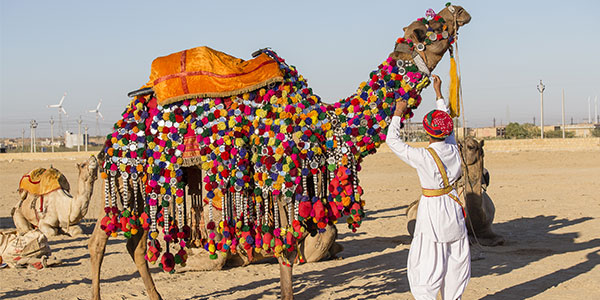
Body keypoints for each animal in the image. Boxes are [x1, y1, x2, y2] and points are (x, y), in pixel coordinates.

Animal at [90, 5, 474, 300]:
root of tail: (128, 113)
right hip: (132, 167)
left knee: (135, 245)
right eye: (429, 26)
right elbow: (287, 250)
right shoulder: (283, 178)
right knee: (101, 239)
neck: (327, 124)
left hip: (154, 180)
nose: (458, 10)